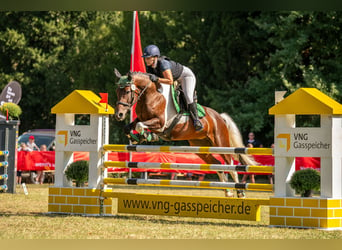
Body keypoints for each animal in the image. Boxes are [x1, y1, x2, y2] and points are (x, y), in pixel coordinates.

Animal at [114, 70, 256, 197]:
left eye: (127, 91)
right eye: (117, 92)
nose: (119, 115)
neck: (151, 95)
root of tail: (219, 117)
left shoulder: (160, 123)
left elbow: (140, 126)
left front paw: (147, 136)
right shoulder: (142, 118)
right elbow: (129, 127)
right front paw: (137, 137)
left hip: (221, 143)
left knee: (231, 166)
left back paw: (240, 192)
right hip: (201, 147)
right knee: (218, 164)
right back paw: (228, 191)